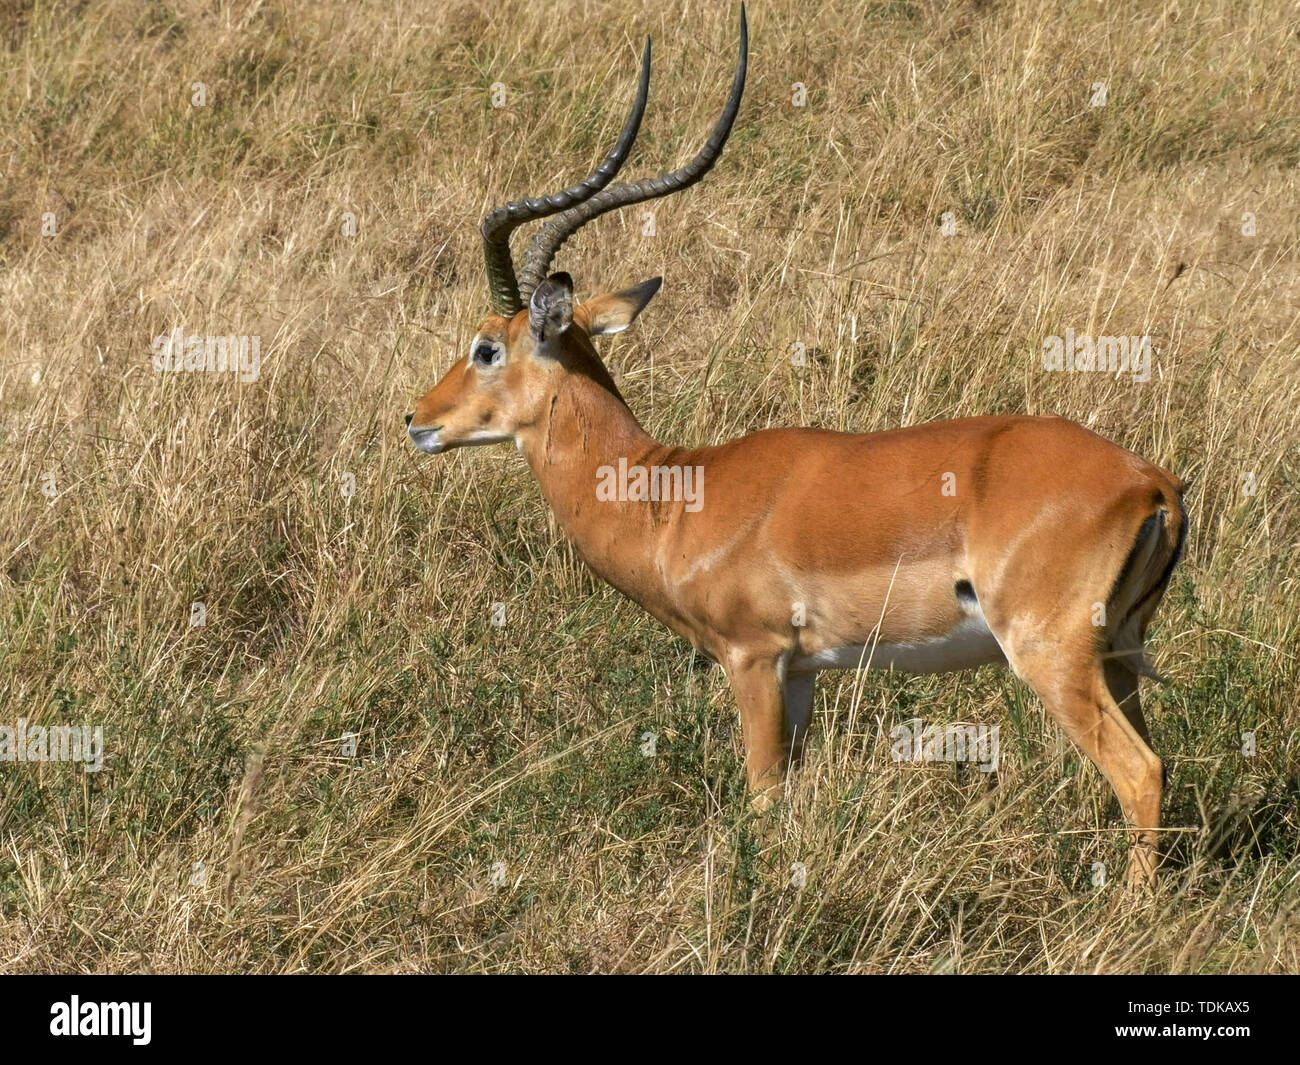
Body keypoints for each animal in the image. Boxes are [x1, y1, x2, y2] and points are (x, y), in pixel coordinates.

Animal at [407, 6, 1187, 889]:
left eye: (485, 347)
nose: (417, 419)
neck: (669, 492)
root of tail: (1150, 480)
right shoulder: (807, 673)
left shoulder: (753, 658)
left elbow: (761, 800)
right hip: (1117, 654)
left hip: (1052, 655)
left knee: (1140, 770)